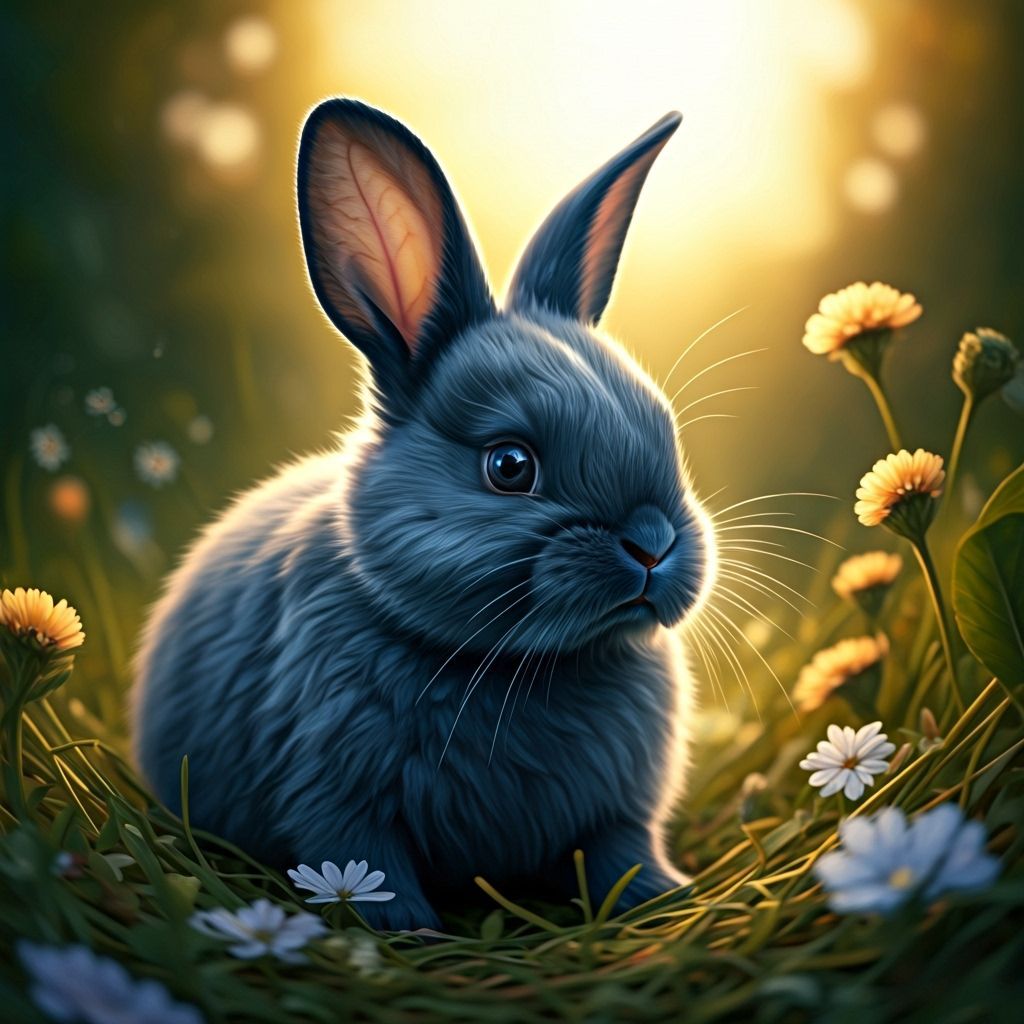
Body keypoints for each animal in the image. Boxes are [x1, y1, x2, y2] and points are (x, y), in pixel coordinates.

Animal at [133, 98, 716, 931]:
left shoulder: (619, 812)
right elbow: (366, 864)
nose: (653, 543)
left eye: (664, 430)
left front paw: (662, 897)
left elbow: (619, 852)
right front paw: (405, 930)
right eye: (510, 466)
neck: (513, 666)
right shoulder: (337, 797)